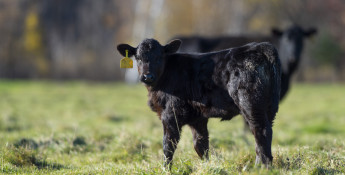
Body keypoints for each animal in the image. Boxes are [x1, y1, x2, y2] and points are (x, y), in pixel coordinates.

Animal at [117, 38, 280, 168]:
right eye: (138, 57)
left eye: (159, 57)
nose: (147, 76)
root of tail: (259, 46)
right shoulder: (197, 118)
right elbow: (201, 145)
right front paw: (207, 166)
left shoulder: (170, 114)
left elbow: (168, 145)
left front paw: (166, 169)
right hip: (270, 107)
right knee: (265, 134)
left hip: (251, 104)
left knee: (260, 131)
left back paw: (263, 167)